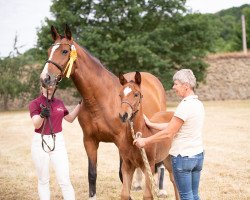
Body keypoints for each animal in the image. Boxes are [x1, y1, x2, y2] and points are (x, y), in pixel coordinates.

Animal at [42, 24, 171, 198]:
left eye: (64, 51)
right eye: (49, 50)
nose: (45, 78)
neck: (100, 100)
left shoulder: (120, 141)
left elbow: (123, 174)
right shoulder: (89, 141)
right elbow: (92, 174)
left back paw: (161, 189)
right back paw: (139, 184)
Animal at [119, 72, 180, 200]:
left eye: (136, 94)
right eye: (120, 94)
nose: (123, 115)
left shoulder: (149, 166)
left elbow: (147, 195)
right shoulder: (127, 166)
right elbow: (125, 194)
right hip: (166, 158)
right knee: (174, 179)